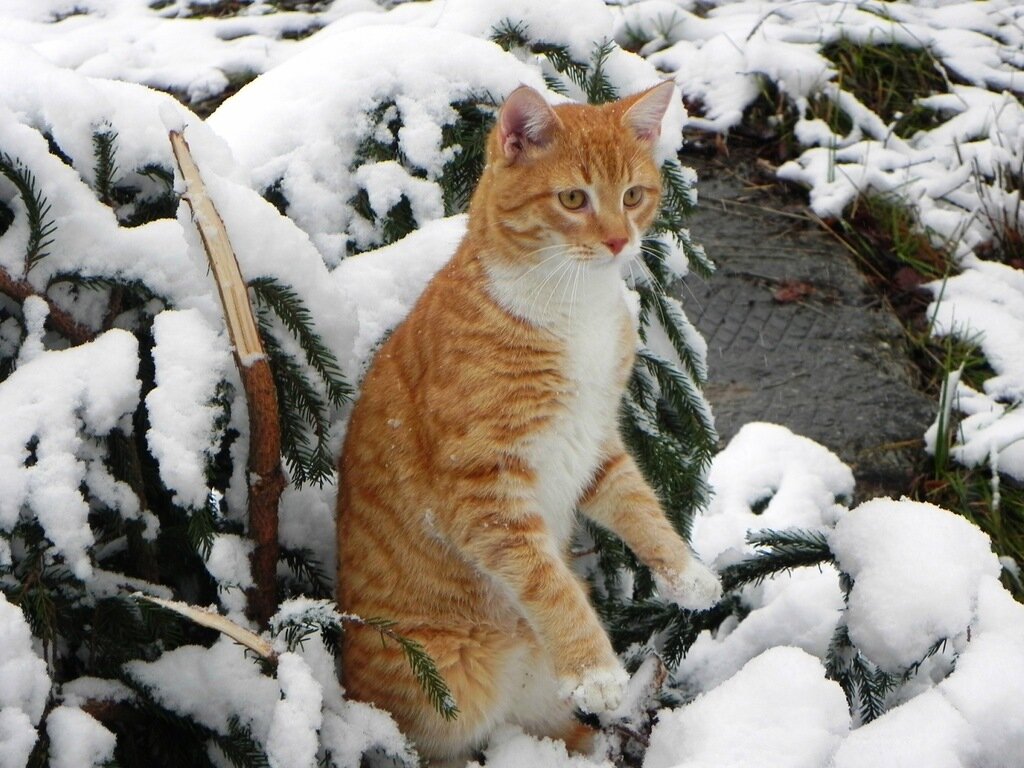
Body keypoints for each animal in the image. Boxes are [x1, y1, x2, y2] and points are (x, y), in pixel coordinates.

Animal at [335, 81, 720, 765]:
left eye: (633, 195)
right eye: (573, 199)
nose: (619, 241)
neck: (576, 309)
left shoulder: (596, 446)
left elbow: (642, 508)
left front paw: (686, 574)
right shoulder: (484, 496)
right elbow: (548, 583)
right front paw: (595, 668)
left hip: (542, 708)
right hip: (441, 701)